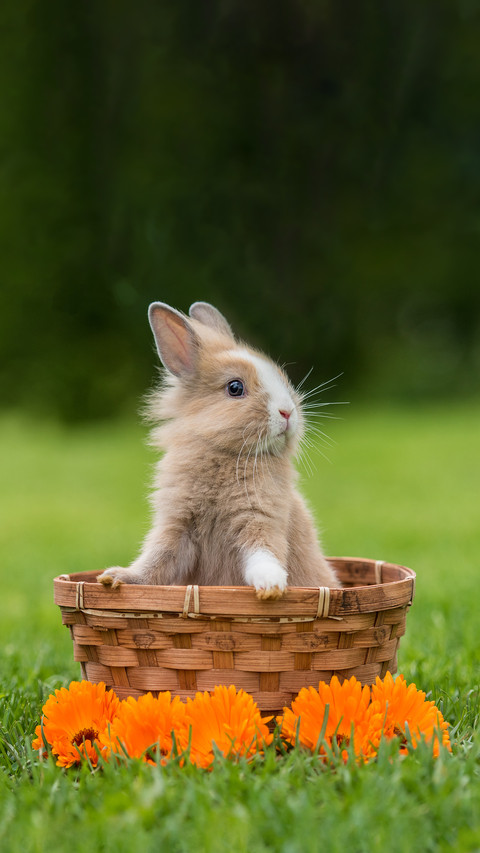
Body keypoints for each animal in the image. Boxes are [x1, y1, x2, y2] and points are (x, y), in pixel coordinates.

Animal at [98, 301, 339, 598]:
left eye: (283, 378)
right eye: (235, 387)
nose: (287, 412)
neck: (224, 455)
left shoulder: (261, 519)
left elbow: (264, 553)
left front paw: (271, 587)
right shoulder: (176, 528)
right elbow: (156, 561)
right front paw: (116, 577)